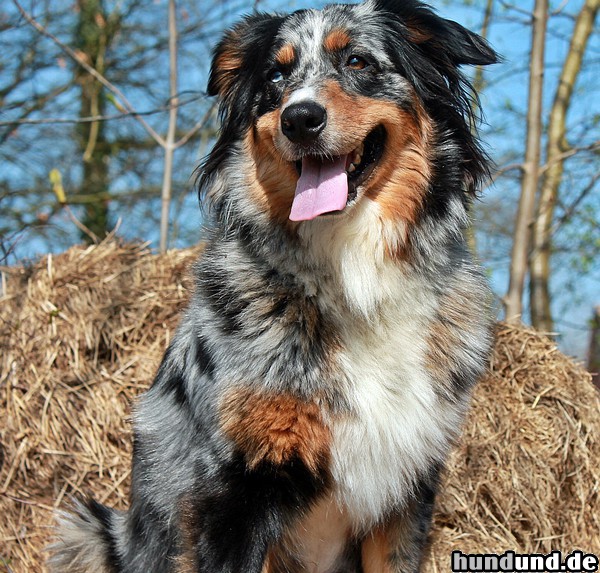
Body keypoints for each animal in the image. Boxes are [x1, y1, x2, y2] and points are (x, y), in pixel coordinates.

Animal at [48, 1, 496, 572]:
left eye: (357, 60)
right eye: (276, 77)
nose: (299, 118)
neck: (351, 272)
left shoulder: (406, 491)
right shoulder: (237, 486)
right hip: (89, 531)